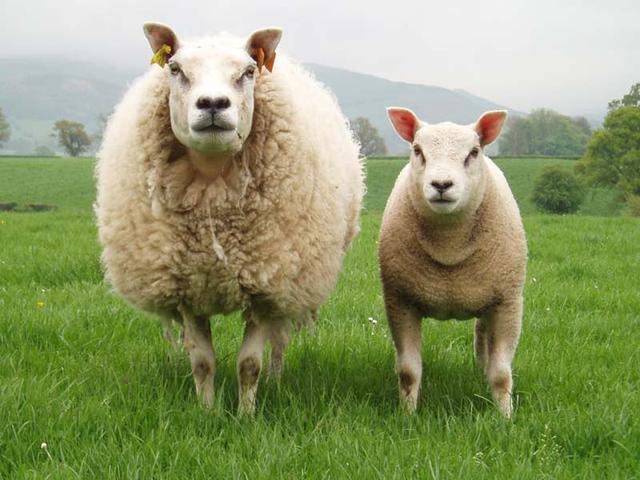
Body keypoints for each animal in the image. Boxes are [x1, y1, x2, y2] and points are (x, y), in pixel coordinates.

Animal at [95, 22, 364, 414]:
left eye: (248, 71)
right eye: (175, 69)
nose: (212, 104)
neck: (211, 179)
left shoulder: (265, 285)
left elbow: (249, 364)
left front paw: (245, 415)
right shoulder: (187, 286)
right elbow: (202, 362)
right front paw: (207, 412)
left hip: (289, 284)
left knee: (279, 341)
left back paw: (275, 380)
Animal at [378, 108, 527, 417]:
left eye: (473, 152)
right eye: (417, 150)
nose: (442, 185)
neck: (449, 246)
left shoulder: (508, 303)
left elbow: (501, 374)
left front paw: (506, 417)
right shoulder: (400, 301)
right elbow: (408, 371)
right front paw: (407, 416)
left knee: (481, 335)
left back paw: (481, 373)